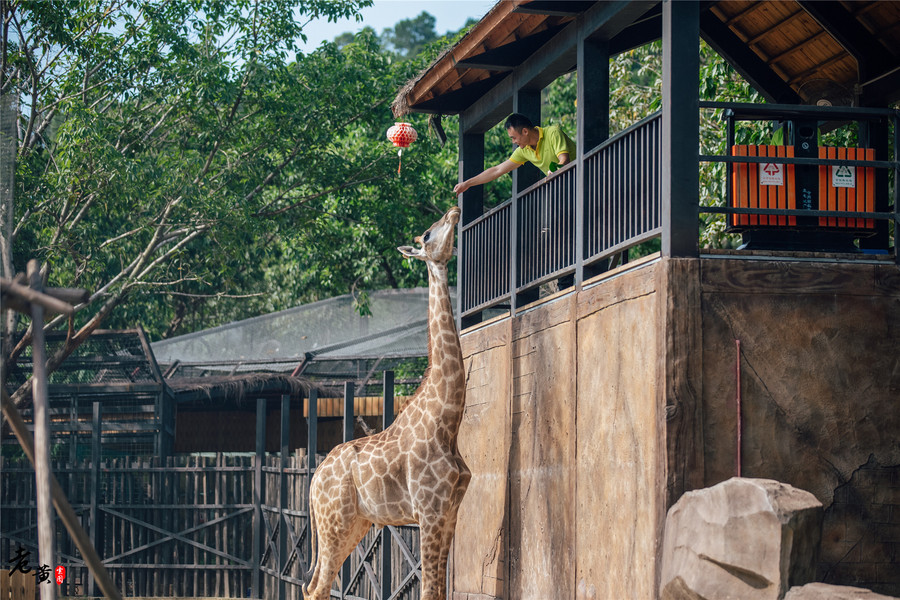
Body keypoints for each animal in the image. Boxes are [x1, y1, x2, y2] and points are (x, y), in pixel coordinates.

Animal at [302, 206, 472, 600]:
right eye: (428, 234)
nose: (454, 209)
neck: (447, 421)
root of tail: (314, 479)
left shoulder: (451, 510)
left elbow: (439, 590)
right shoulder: (429, 510)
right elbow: (429, 590)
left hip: (356, 523)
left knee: (313, 586)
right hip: (334, 524)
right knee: (318, 588)